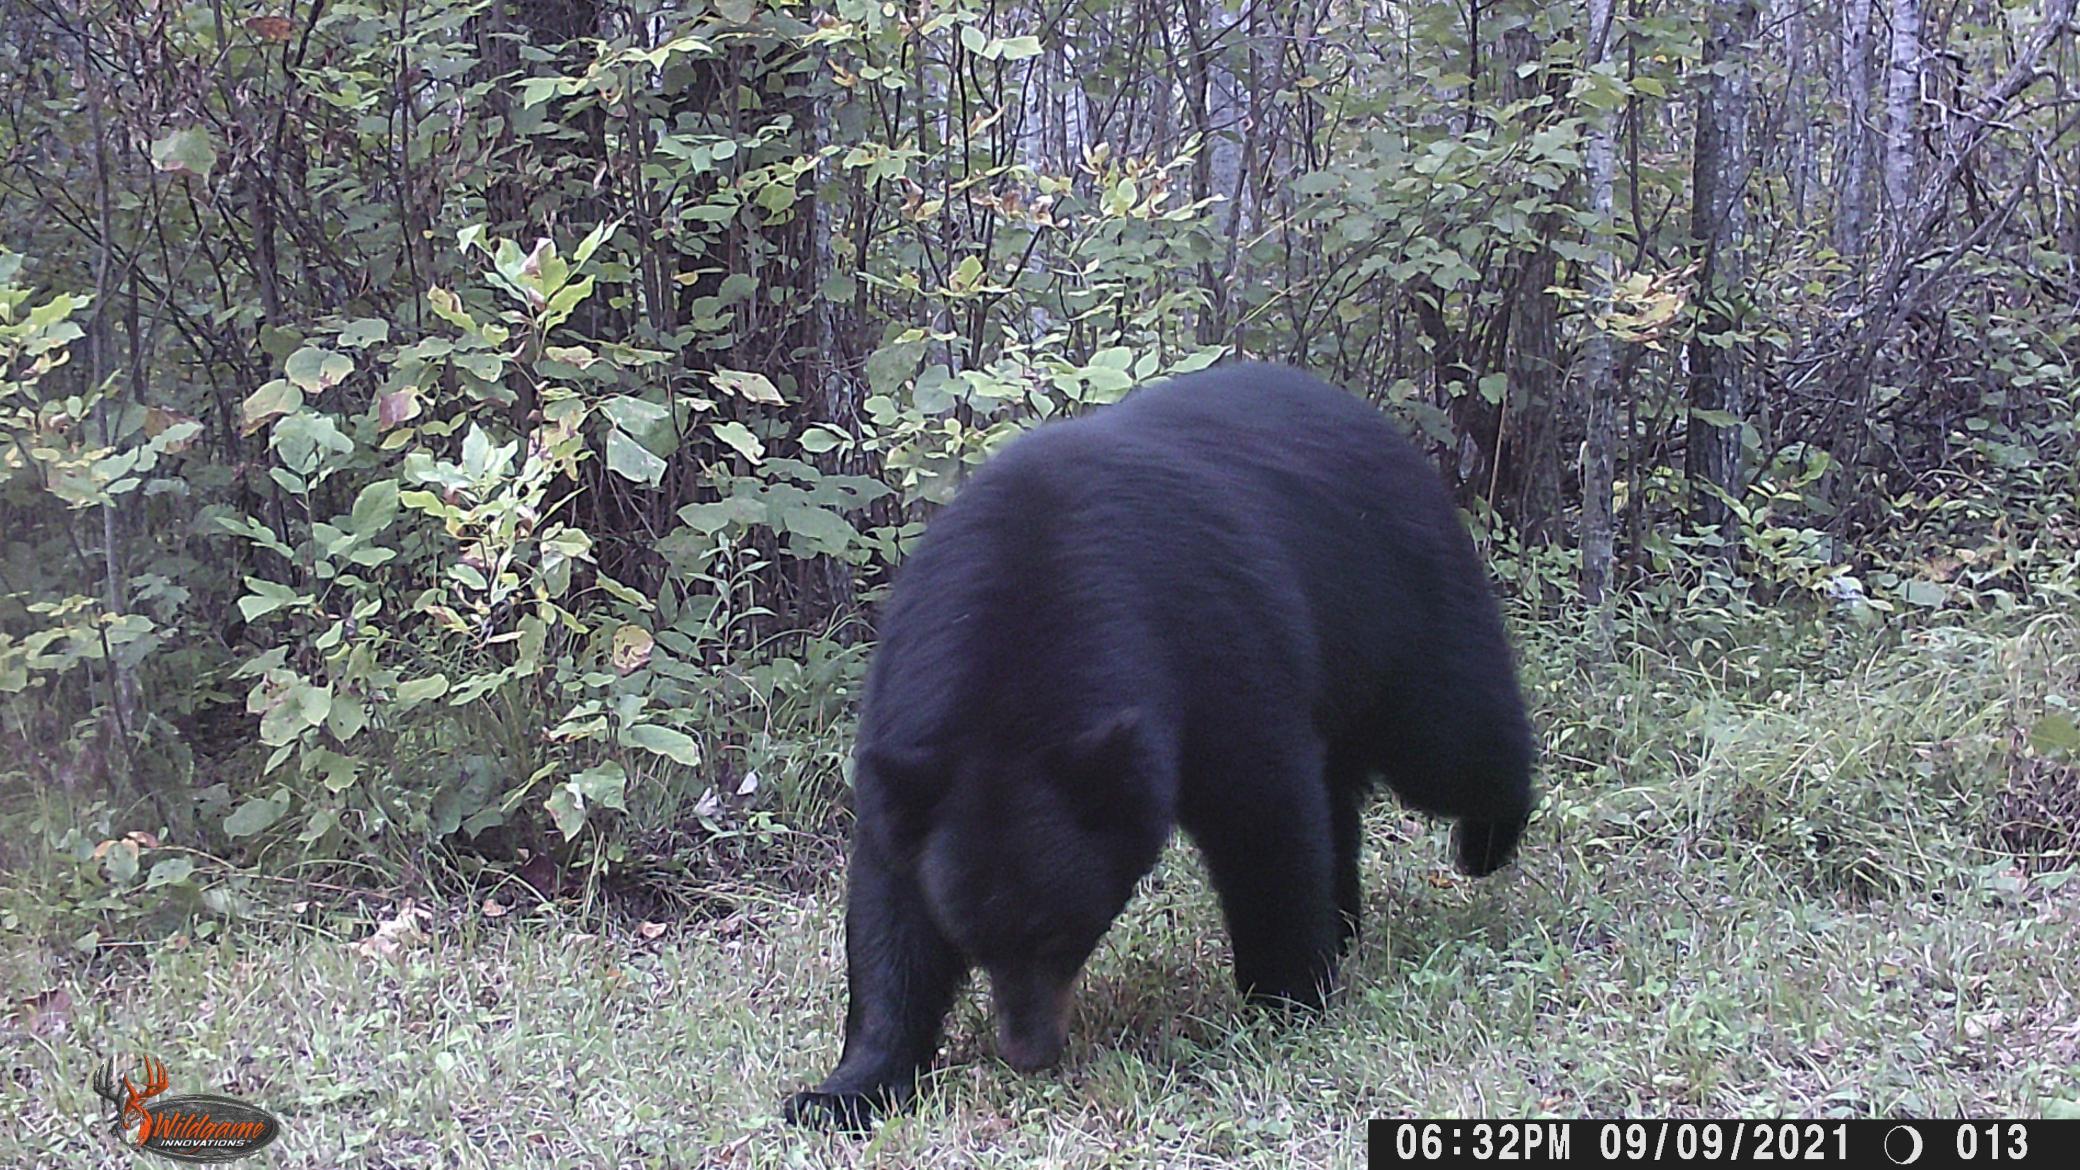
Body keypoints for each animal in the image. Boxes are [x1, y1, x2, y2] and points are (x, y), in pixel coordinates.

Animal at [782, 362, 1535, 1131]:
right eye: (975, 941)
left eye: (1060, 931)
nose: (1028, 1053)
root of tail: (1369, 417)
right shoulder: (911, 741)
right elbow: (891, 907)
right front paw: (845, 1087)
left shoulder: (1209, 648)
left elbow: (1264, 816)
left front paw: (1286, 1000)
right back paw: (1347, 921)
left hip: (1393, 599)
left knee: (1453, 739)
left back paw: (1485, 842)